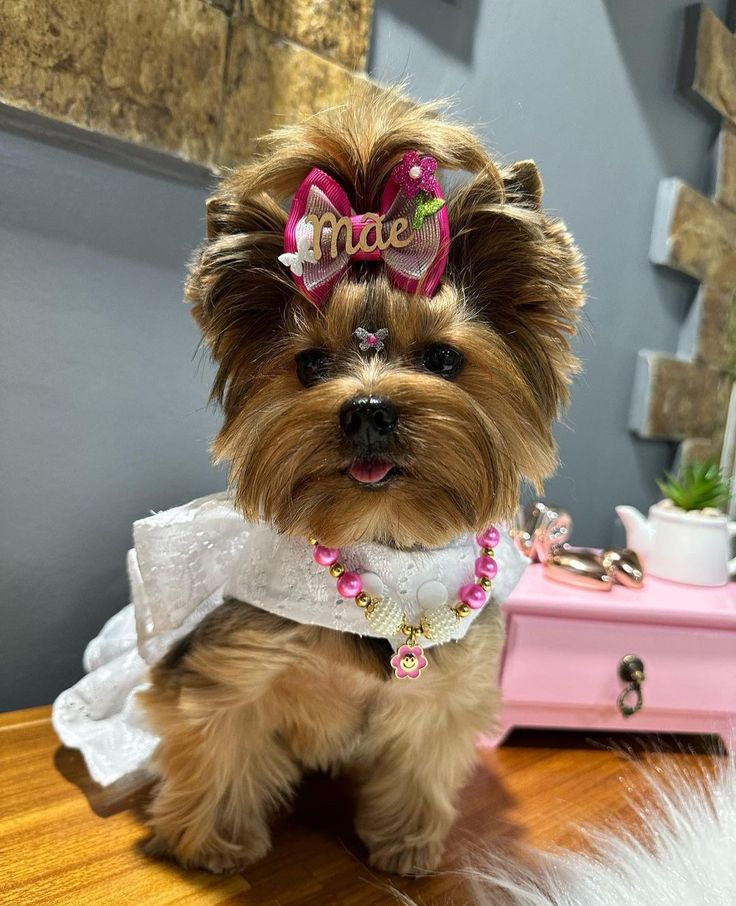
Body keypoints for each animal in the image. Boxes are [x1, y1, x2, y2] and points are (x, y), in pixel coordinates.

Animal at [141, 86, 584, 876]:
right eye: (311, 365)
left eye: (443, 358)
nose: (369, 409)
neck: (383, 546)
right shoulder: (232, 667)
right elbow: (217, 740)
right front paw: (212, 843)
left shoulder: (444, 691)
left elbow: (420, 762)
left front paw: (406, 844)